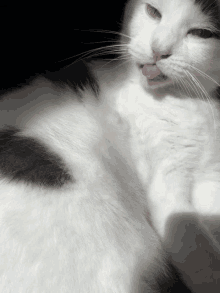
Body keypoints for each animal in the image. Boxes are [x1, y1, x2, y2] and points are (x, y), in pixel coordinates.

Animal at [1, 0, 220, 292]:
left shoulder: (212, 176)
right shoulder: (167, 188)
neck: (191, 101)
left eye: (202, 33)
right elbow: (200, 253)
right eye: (153, 11)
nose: (158, 50)